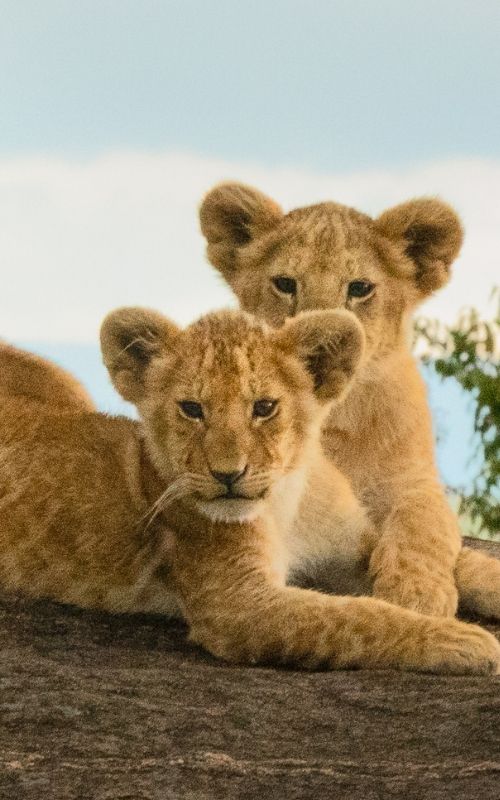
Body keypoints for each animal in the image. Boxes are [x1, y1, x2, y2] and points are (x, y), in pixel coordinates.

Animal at [0, 307, 498, 674]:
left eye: (264, 407)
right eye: (191, 409)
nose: (228, 474)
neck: (286, 501)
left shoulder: (354, 546)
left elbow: (459, 558)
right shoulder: (239, 605)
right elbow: (355, 617)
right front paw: (466, 641)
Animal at [199, 183, 500, 619]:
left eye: (359, 288)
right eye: (285, 284)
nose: (322, 338)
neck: (336, 413)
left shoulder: (415, 480)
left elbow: (423, 525)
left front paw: (416, 590)